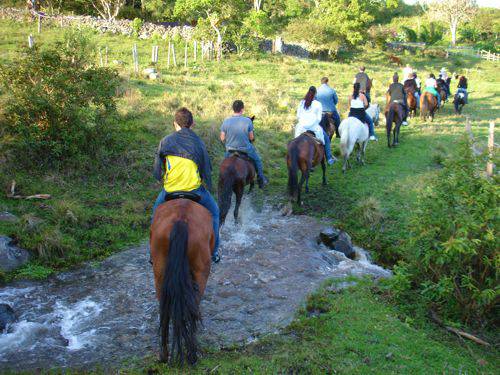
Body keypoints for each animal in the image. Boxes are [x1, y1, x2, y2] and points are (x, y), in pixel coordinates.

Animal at [148, 198, 213, 366]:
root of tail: (181, 219)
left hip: (160, 274)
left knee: (164, 311)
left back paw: (164, 355)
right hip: (201, 273)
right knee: (193, 308)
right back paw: (192, 355)